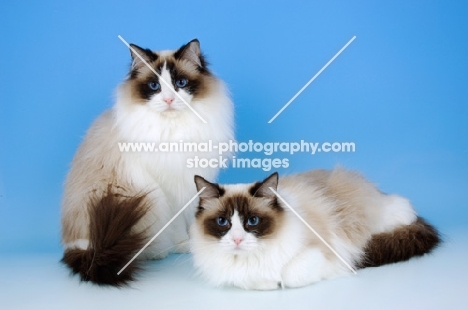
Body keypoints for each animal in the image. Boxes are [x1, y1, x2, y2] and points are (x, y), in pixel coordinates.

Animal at [61, 38, 234, 286]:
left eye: (180, 83)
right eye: (154, 86)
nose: (169, 99)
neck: (176, 129)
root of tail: (84, 248)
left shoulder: (189, 181)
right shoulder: (170, 188)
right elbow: (178, 222)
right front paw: (184, 243)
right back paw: (156, 252)